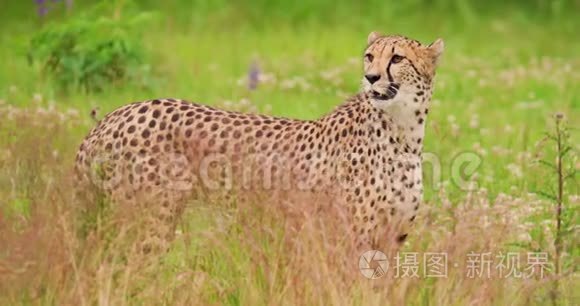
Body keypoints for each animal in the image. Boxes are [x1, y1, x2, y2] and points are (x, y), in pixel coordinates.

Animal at [73, 31, 444, 251]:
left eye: (397, 58)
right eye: (369, 56)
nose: (371, 78)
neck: (404, 132)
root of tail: (115, 114)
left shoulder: (392, 239)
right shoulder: (353, 237)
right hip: (149, 219)